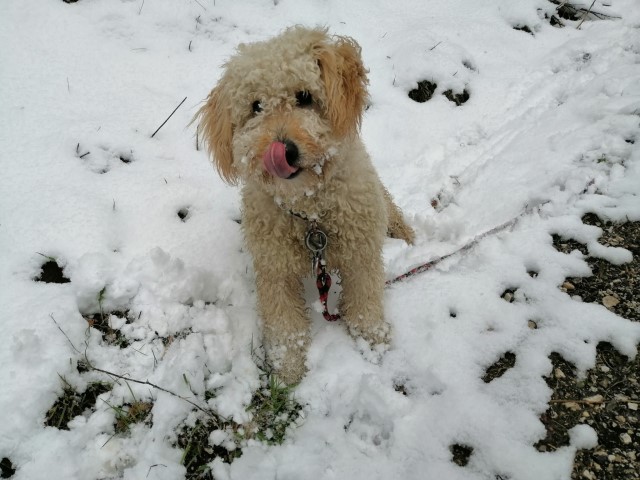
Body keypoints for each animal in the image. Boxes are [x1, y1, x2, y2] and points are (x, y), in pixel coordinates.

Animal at [195, 27, 416, 386]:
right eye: (256, 106)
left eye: (304, 96)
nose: (282, 150)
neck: (310, 213)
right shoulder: (274, 270)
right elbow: (284, 322)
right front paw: (287, 368)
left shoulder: (362, 255)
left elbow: (365, 298)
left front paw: (372, 339)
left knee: (390, 208)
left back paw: (406, 236)